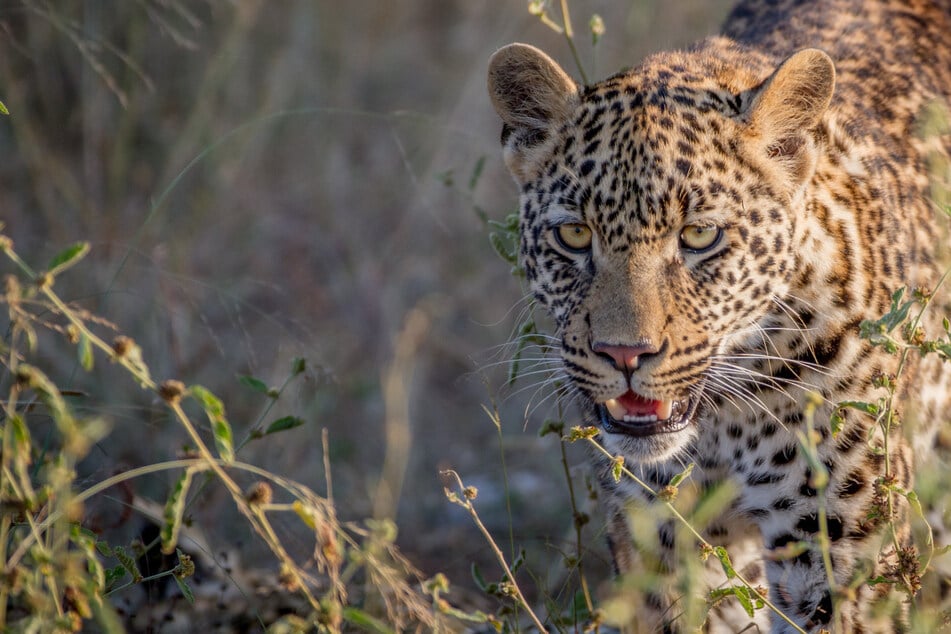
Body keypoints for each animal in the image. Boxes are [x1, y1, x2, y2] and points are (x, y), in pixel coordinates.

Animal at [488, 1, 948, 632]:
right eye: (575, 235)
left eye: (700, 236)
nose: (624, 354)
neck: (723, 425)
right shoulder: (662, 542)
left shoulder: (837, 549)